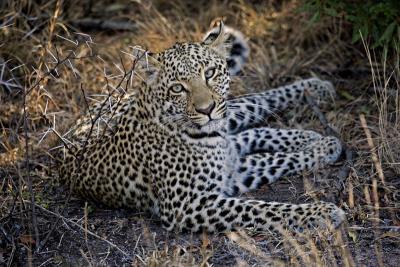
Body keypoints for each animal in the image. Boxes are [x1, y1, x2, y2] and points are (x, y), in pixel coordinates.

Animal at [58, 21, 344, 234]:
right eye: (177, 88)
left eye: (209, 73)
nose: (206, 109)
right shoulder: (192, 203)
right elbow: (263, 205)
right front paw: (322, 212)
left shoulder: (224, 175)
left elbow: (271, 164)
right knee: (247, 134)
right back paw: (318, 138)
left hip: (231, 111)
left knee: (256, 106)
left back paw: (316, 94)